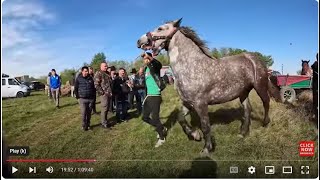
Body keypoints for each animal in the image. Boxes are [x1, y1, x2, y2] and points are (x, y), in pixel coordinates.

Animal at [136, 18, 278, 155]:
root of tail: (254, 58)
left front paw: (207, 148)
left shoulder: (201, 104)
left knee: (266, 102)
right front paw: (195, 135)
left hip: (260, 86)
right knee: (247, 110)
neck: (192, 66)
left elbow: (205, 126)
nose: (139, 41)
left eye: (160, 28)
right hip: (243, 92)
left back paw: (265, 123)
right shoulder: (188, 103)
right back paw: (242, 133)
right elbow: (181, 118)